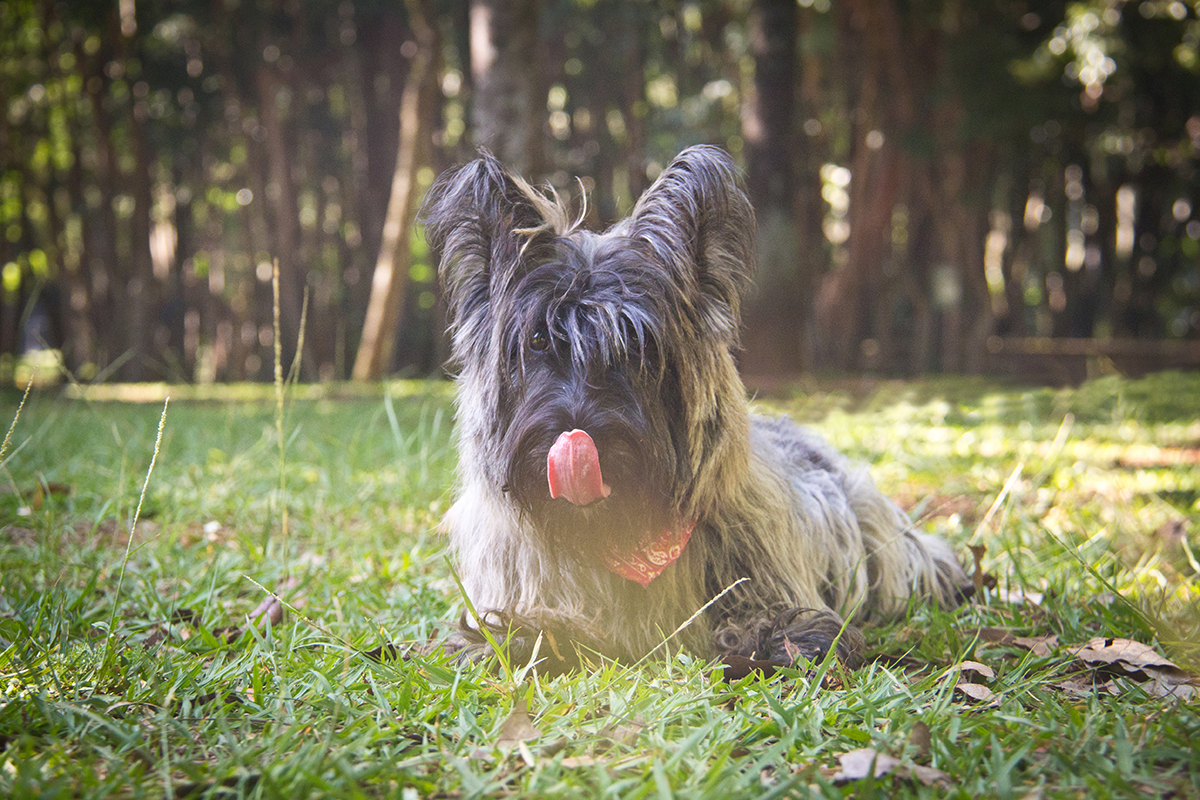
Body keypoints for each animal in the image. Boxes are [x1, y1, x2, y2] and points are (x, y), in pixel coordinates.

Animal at [417, 146, 969, 671]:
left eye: (637, 346)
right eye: (536, 341)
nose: (578, 437)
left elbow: (766, 614)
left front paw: (786, 635)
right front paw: (520, 637)